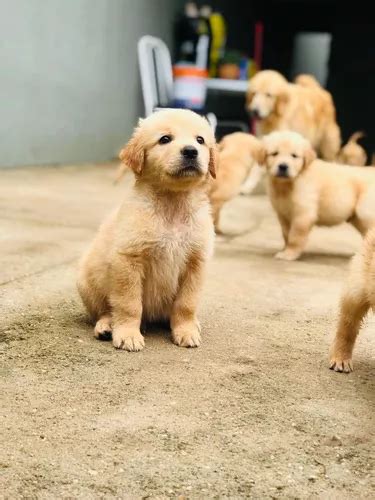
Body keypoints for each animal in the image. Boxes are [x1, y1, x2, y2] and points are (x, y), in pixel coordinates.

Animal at [76, 109, 217, 352]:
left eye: (200, 140)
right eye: (165, 139)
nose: (191, 151)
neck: (172, 204)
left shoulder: (196, 262)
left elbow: (187, 303)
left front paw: (186, 330)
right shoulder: (129, 259)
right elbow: (129, 303)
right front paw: (128, 334)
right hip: (87, 282)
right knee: (104, 310)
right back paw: (106, 326)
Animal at [262, 131, 375, 260]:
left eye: (294, 156)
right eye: (274, 153)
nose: (283, 166)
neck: (288, 183)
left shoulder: (303, 214)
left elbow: (295, 237)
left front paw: (289, 254)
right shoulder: (283, 214)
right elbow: (286, 234)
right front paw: (286, 249)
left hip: (365, 213)